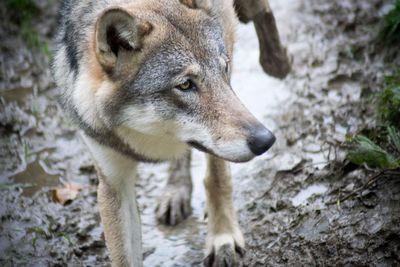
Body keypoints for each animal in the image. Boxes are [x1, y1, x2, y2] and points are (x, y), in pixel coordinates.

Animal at [53, 0, 284, 266]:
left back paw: (278, 61)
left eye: (224, 68)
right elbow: (123, 257)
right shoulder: (113, 182)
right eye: (185, 85)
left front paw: (222, 240)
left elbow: (216, 179)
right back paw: (176, 191)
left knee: (261, 12)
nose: (265, 140)